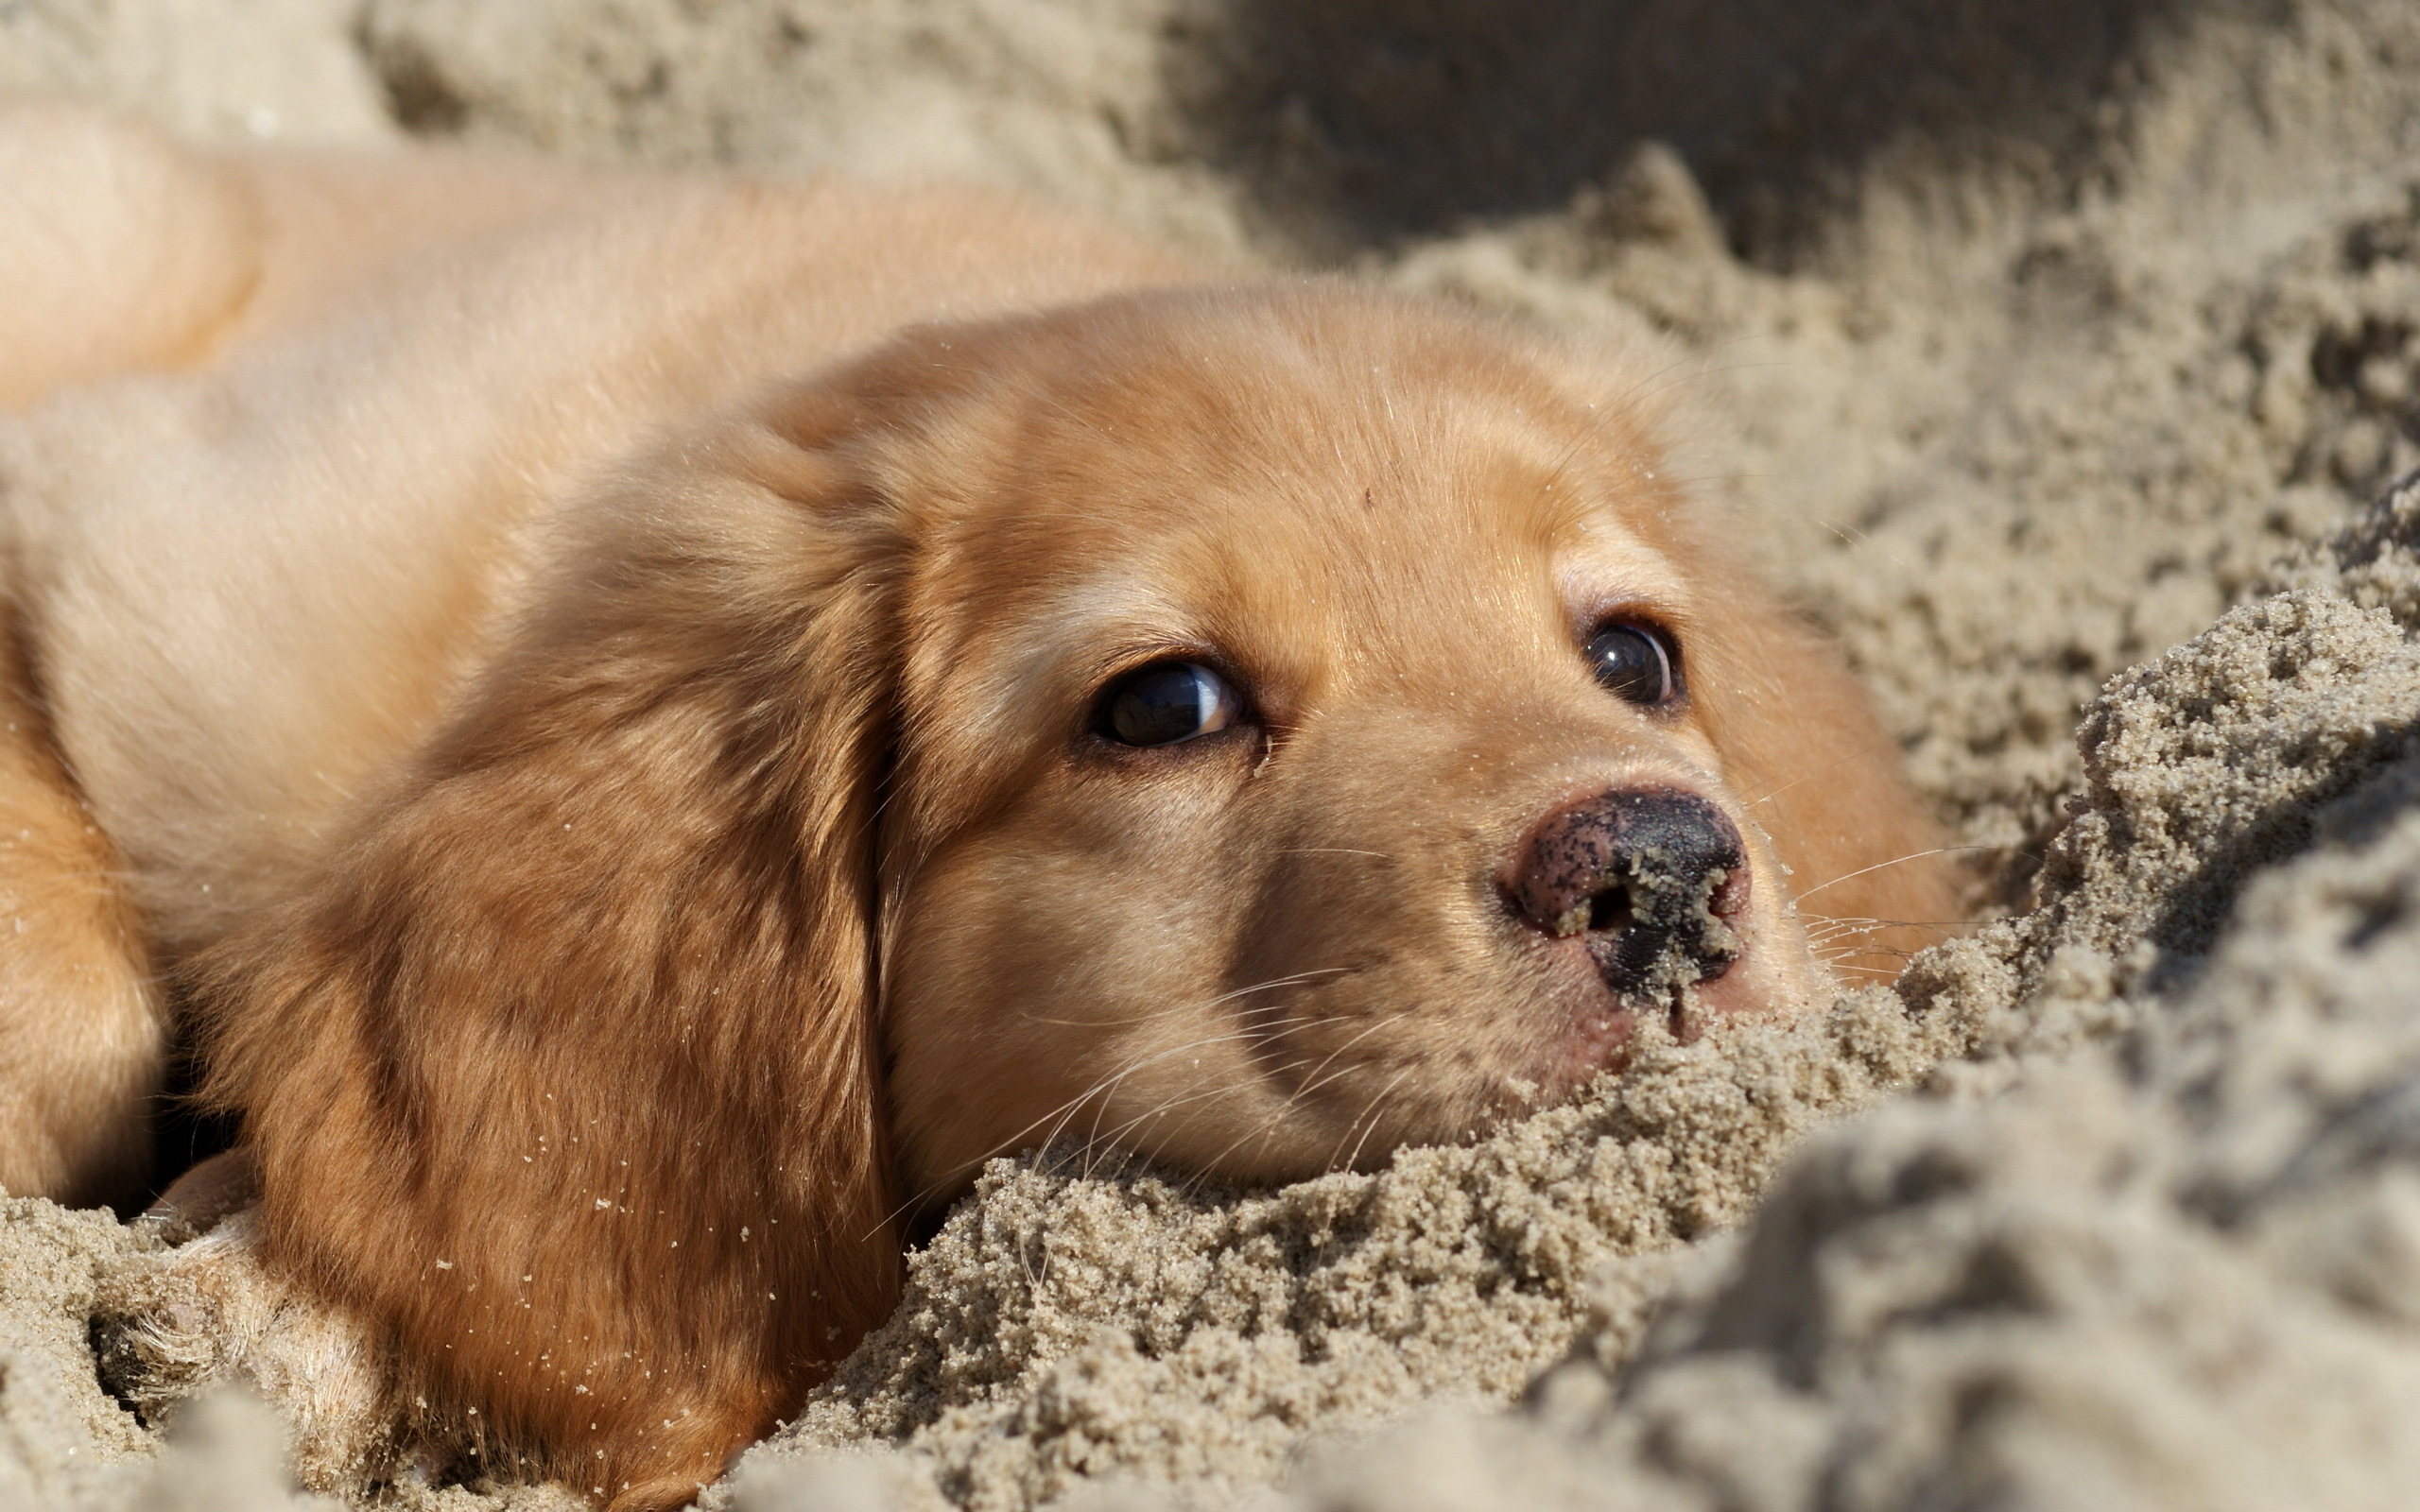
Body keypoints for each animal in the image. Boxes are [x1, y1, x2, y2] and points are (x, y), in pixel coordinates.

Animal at [0, 109, 1955, 1509]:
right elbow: (78, 1017)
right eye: (1166, 708)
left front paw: (286, 1291)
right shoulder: (126, 527)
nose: (1661, 874)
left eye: (1634, 656)